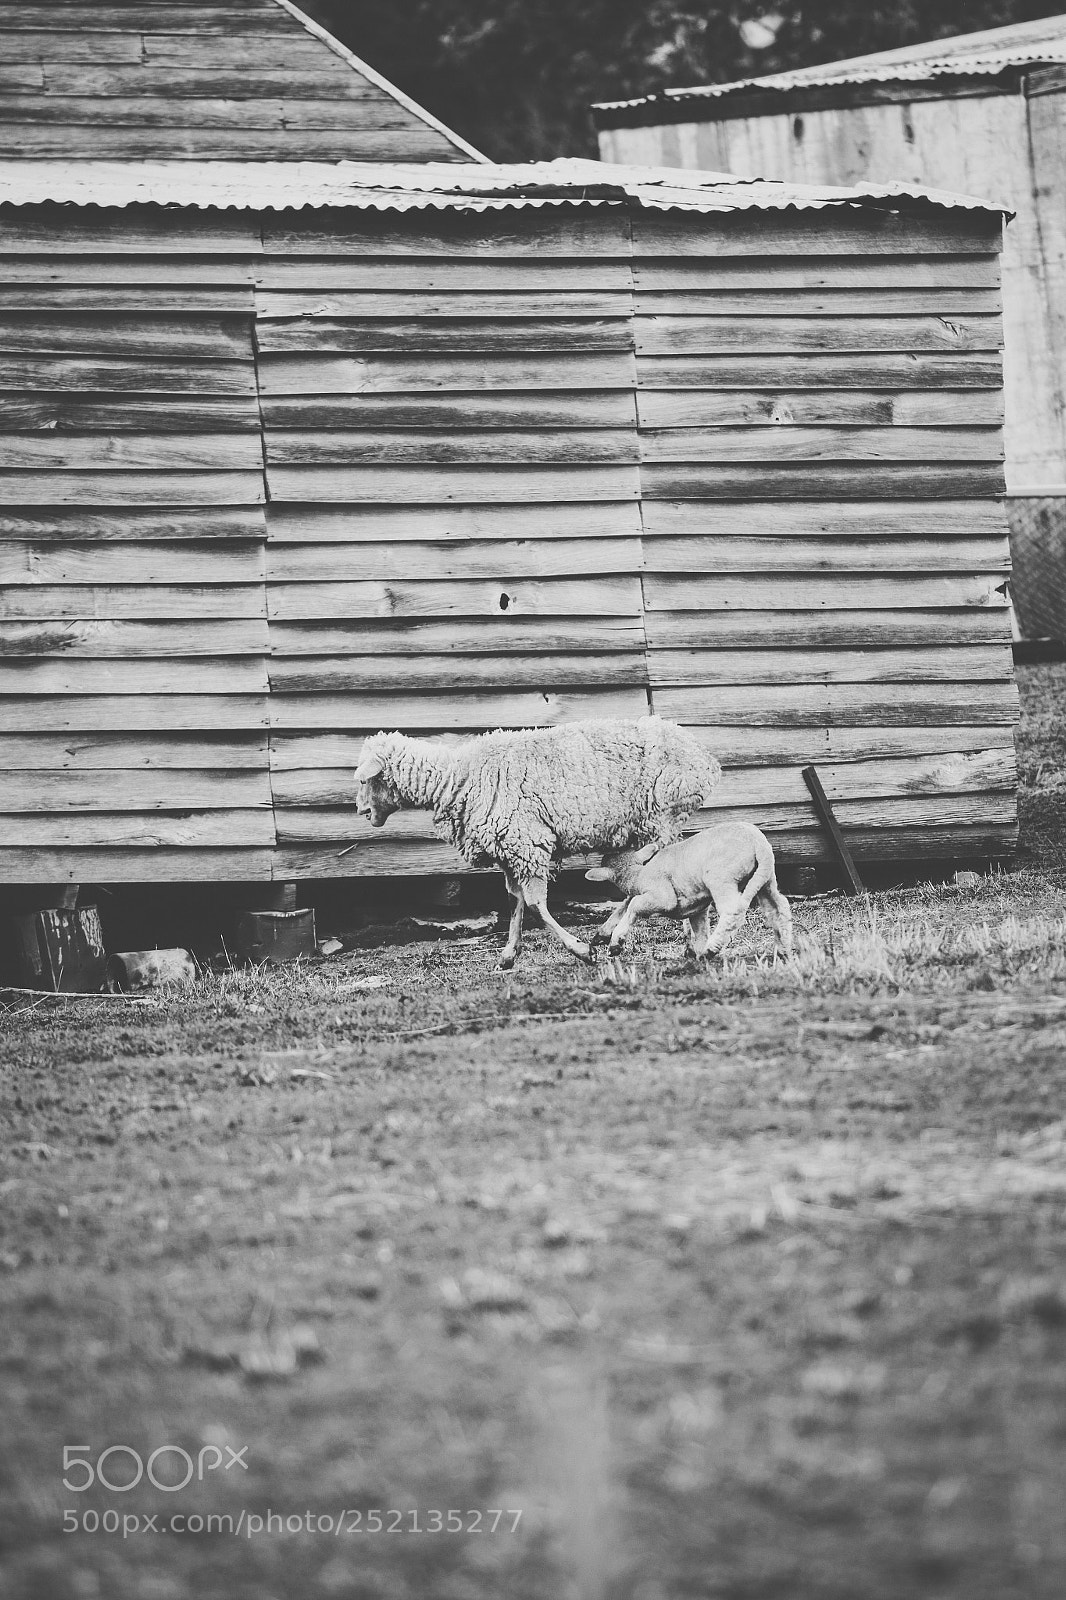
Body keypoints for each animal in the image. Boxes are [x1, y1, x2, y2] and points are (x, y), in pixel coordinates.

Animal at [353, 717, 722, 968]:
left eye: (365, 779)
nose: (361, 811)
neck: (459, 779)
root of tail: (706, 760)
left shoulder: (527, 843)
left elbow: (534, 904)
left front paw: (580, 950)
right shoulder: (510, 850)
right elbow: (514, 901)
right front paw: (508, 954)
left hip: (662, 816)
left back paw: (623, 936)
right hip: (647, 826)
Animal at [585, 821, 792, 960]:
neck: (638, 873)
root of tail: (759, 842)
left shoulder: (663, 897)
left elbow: (633, 905)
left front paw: (615, 943)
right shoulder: (697, 909)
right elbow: (699, 931)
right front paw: (696, 953)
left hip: (721, 877)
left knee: (732, 911)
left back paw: (712, 948)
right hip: (765, 878)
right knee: (778, 907)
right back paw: (783, 949)